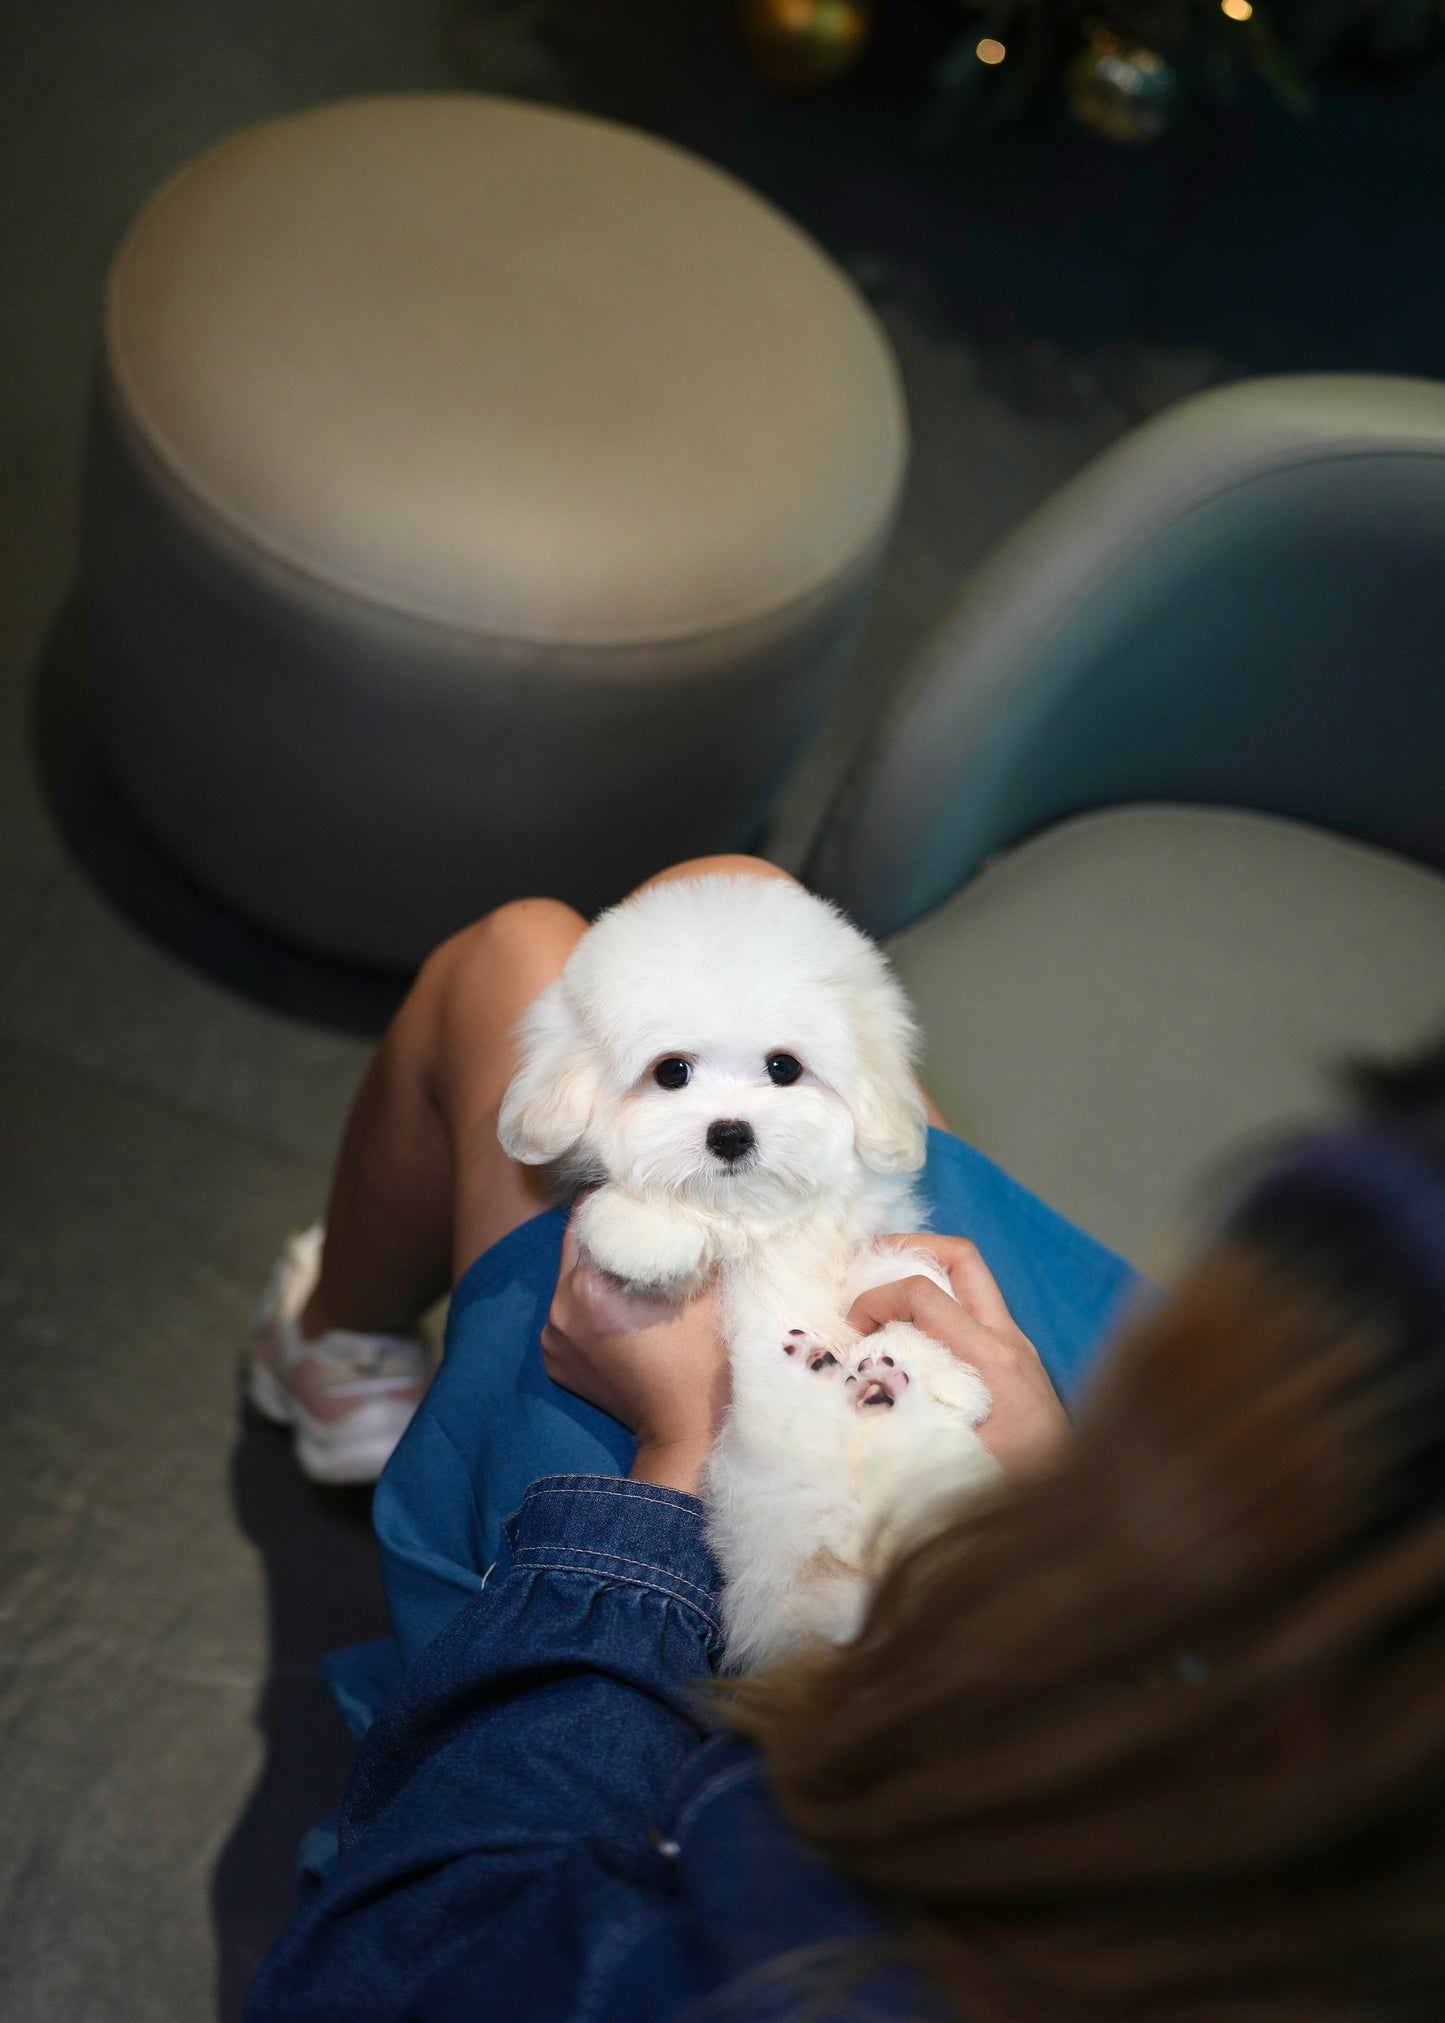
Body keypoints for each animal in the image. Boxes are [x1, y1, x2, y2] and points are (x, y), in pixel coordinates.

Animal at [491, 877, 991, 1666]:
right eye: (672, 1071)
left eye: (783, 1066)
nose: (730, 1133)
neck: (751, 1214)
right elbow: (646, 1228)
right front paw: (645, 1228)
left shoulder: (856, 1239)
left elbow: (895, 1275)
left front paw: (945, 1363)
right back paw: (828, 1379)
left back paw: (887, 1388)